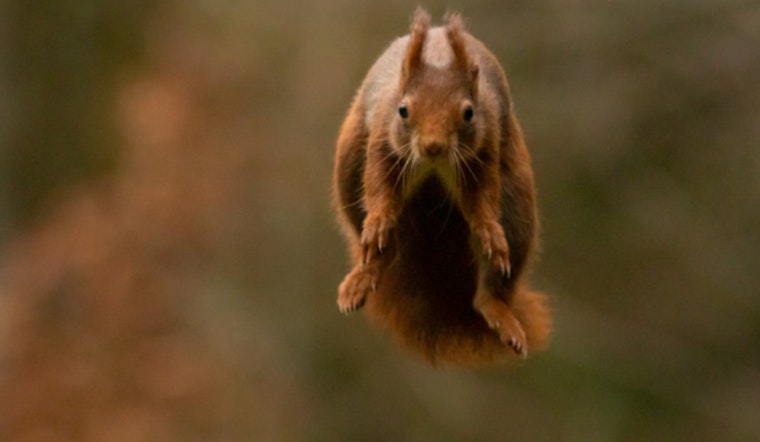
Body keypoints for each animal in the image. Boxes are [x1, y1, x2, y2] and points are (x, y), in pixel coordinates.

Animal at [332, 8, 552, 365]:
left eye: (468, 112)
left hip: (517, 211)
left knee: (490, 290)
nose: (432, 147)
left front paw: (489, 230)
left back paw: (499, 311)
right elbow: (378, 184)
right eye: (403, 109)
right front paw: (378, 221)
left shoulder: (486, 145)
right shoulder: (382, 137)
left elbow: (483, 197)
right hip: (349, 168)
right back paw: (365, 275)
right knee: (381, 246)